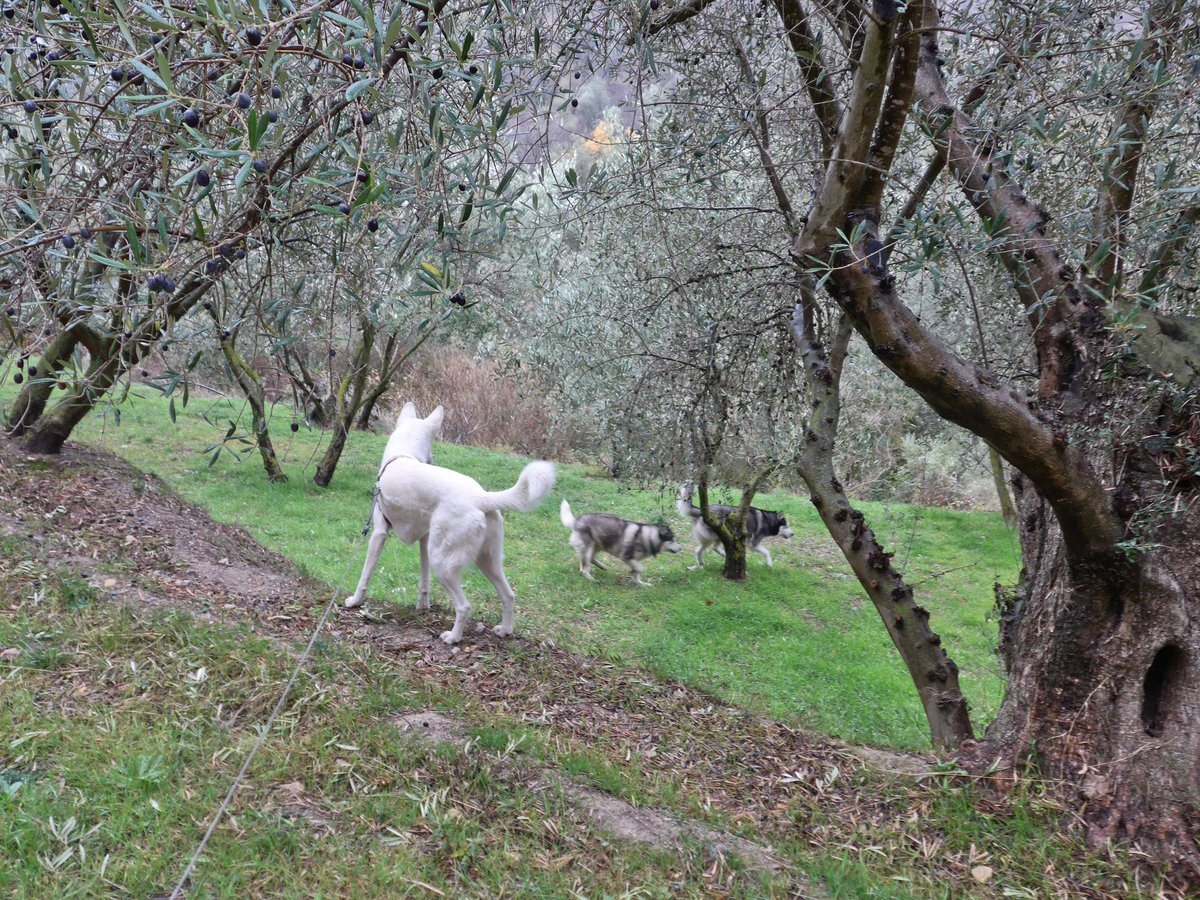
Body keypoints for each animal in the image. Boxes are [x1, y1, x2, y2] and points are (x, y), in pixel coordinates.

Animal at [345, 403, 554, 648]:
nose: (432, 459)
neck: (401, 456)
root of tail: (481, 497)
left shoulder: (378, 533)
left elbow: (365, 574)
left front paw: (355, 600)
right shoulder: (424, 540)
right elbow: (423, 580)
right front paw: (422, 607)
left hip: (443, 563)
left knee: (464, 606)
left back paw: (453, 637)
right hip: (485, 561)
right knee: (509, 595)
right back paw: (505, 630)